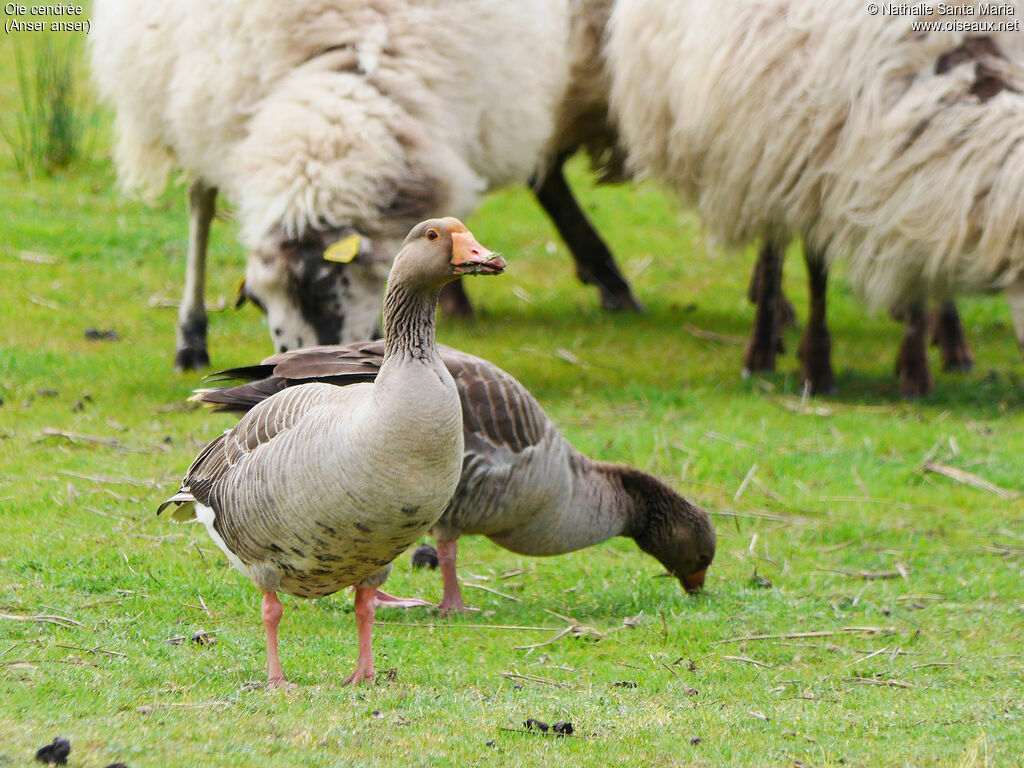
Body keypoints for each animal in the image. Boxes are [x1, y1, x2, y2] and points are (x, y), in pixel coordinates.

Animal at [606, 0, 1024, 393]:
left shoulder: (904, 182)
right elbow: (816, 271)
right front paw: (817, 368)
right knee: (773, 246)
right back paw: (761, 348)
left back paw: (952, 341)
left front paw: (915, 369)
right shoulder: (812, 161)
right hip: (763, 143)